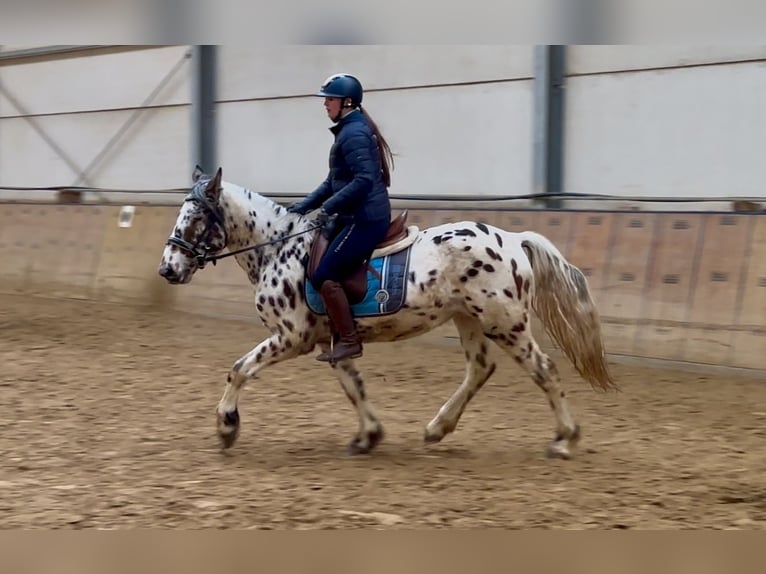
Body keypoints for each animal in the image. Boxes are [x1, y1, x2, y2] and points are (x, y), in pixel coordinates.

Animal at [156, 165, 616, 460]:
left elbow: (239, 369)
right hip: (469, 318)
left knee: (544, 370)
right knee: (480, 369)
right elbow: (353, 386)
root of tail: (514, 239)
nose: (167, 269)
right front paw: (368, 437)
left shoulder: (291, 338)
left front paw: (226, 426)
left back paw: (564, 440)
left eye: (195, 218)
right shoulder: (331, 340)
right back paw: (437, 429)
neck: (278, 248)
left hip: (504, 322)